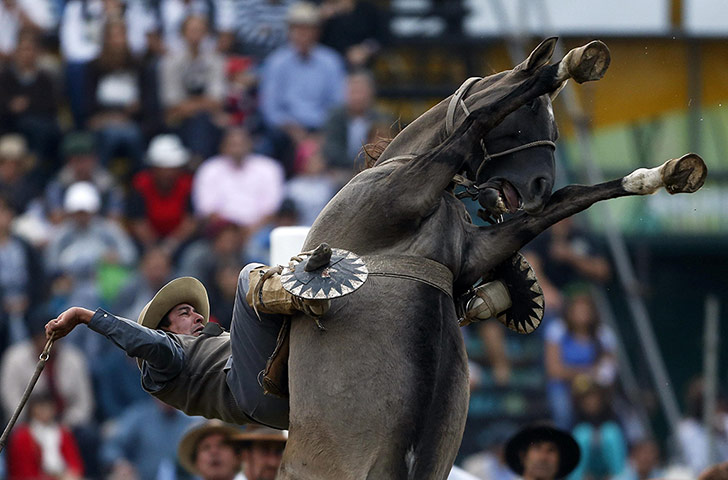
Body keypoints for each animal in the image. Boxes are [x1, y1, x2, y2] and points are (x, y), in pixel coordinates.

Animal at [278, 38, 704, 480]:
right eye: (528, 112)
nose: (539, 186)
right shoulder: (403, 194)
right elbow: (481, 117)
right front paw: (564, 68)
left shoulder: (473, 253)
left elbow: (569, 198)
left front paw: (658, 175)